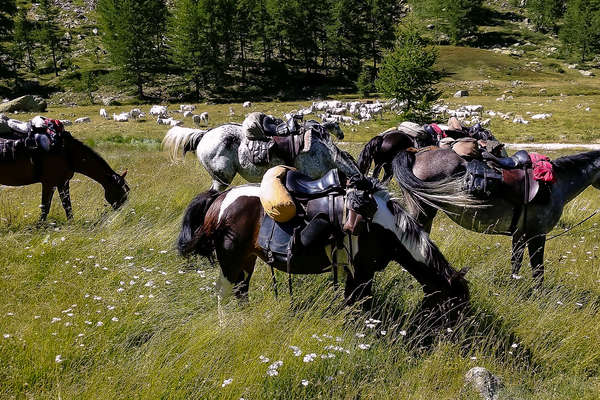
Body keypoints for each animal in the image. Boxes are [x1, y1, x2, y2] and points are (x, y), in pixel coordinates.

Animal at [0, 135, 129, 222]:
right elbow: (45, 207)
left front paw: (71, 223)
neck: (66, 153)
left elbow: (67, 205)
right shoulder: (49, 184)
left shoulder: (63, 182)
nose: (121, 213)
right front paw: (40, 226)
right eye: (120, 191)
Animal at [176, 184, 472, 306]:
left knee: (241, 290)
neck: (383, 227)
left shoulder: (356, 273)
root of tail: (221, 198)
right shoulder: (362, 273)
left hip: (247, 260)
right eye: (455, 306)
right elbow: (358, 305)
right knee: (224, 293)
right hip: (230, 259)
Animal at [392, 148, 600, 286]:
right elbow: (538, 269)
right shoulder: (537, 235)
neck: (555, 185)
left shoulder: (519, 234)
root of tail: (416, 154)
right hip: (423, 211)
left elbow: (516, 263)